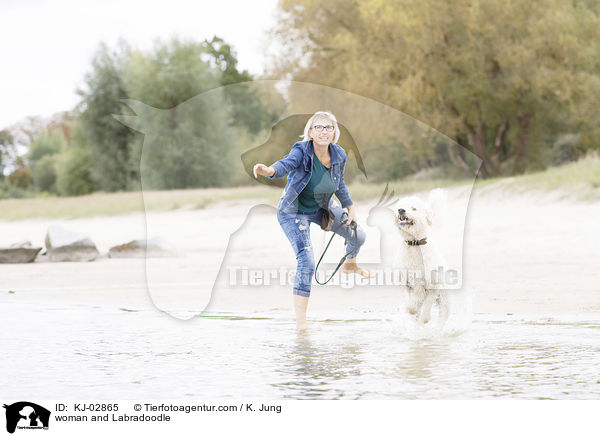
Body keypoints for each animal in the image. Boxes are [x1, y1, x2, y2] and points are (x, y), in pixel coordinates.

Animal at [394, 189, 450, 326]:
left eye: (414, 208)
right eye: (400, 206)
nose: (401, 210)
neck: (414, 244)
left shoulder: (432, 286)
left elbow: (427, 306)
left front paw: (424, 319)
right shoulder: (404, 281)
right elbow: (410, 303)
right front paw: (412, 309)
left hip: (444, 297)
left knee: (443, 314)